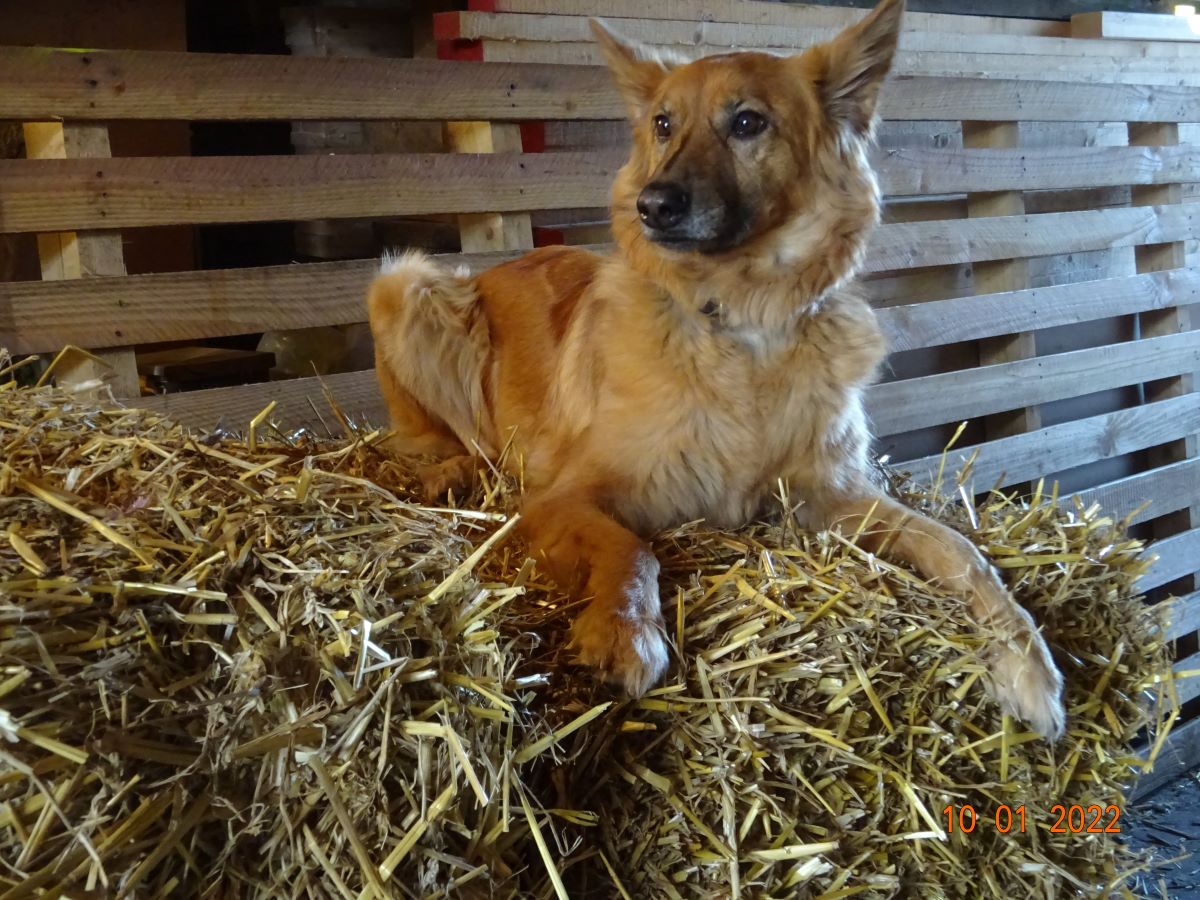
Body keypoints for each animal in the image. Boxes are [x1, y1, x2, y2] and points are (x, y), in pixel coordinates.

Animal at [366, 0, 1066, 739]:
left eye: (748, 123)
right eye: (663, 124)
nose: (653, 205)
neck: (742, 327)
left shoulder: (834, 496)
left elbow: (960, 549)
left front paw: (1030, 668)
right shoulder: (564, 498)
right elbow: (632, 550)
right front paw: (626, 632)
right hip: (406, 284)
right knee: (436, 437)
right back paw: (452, 470)